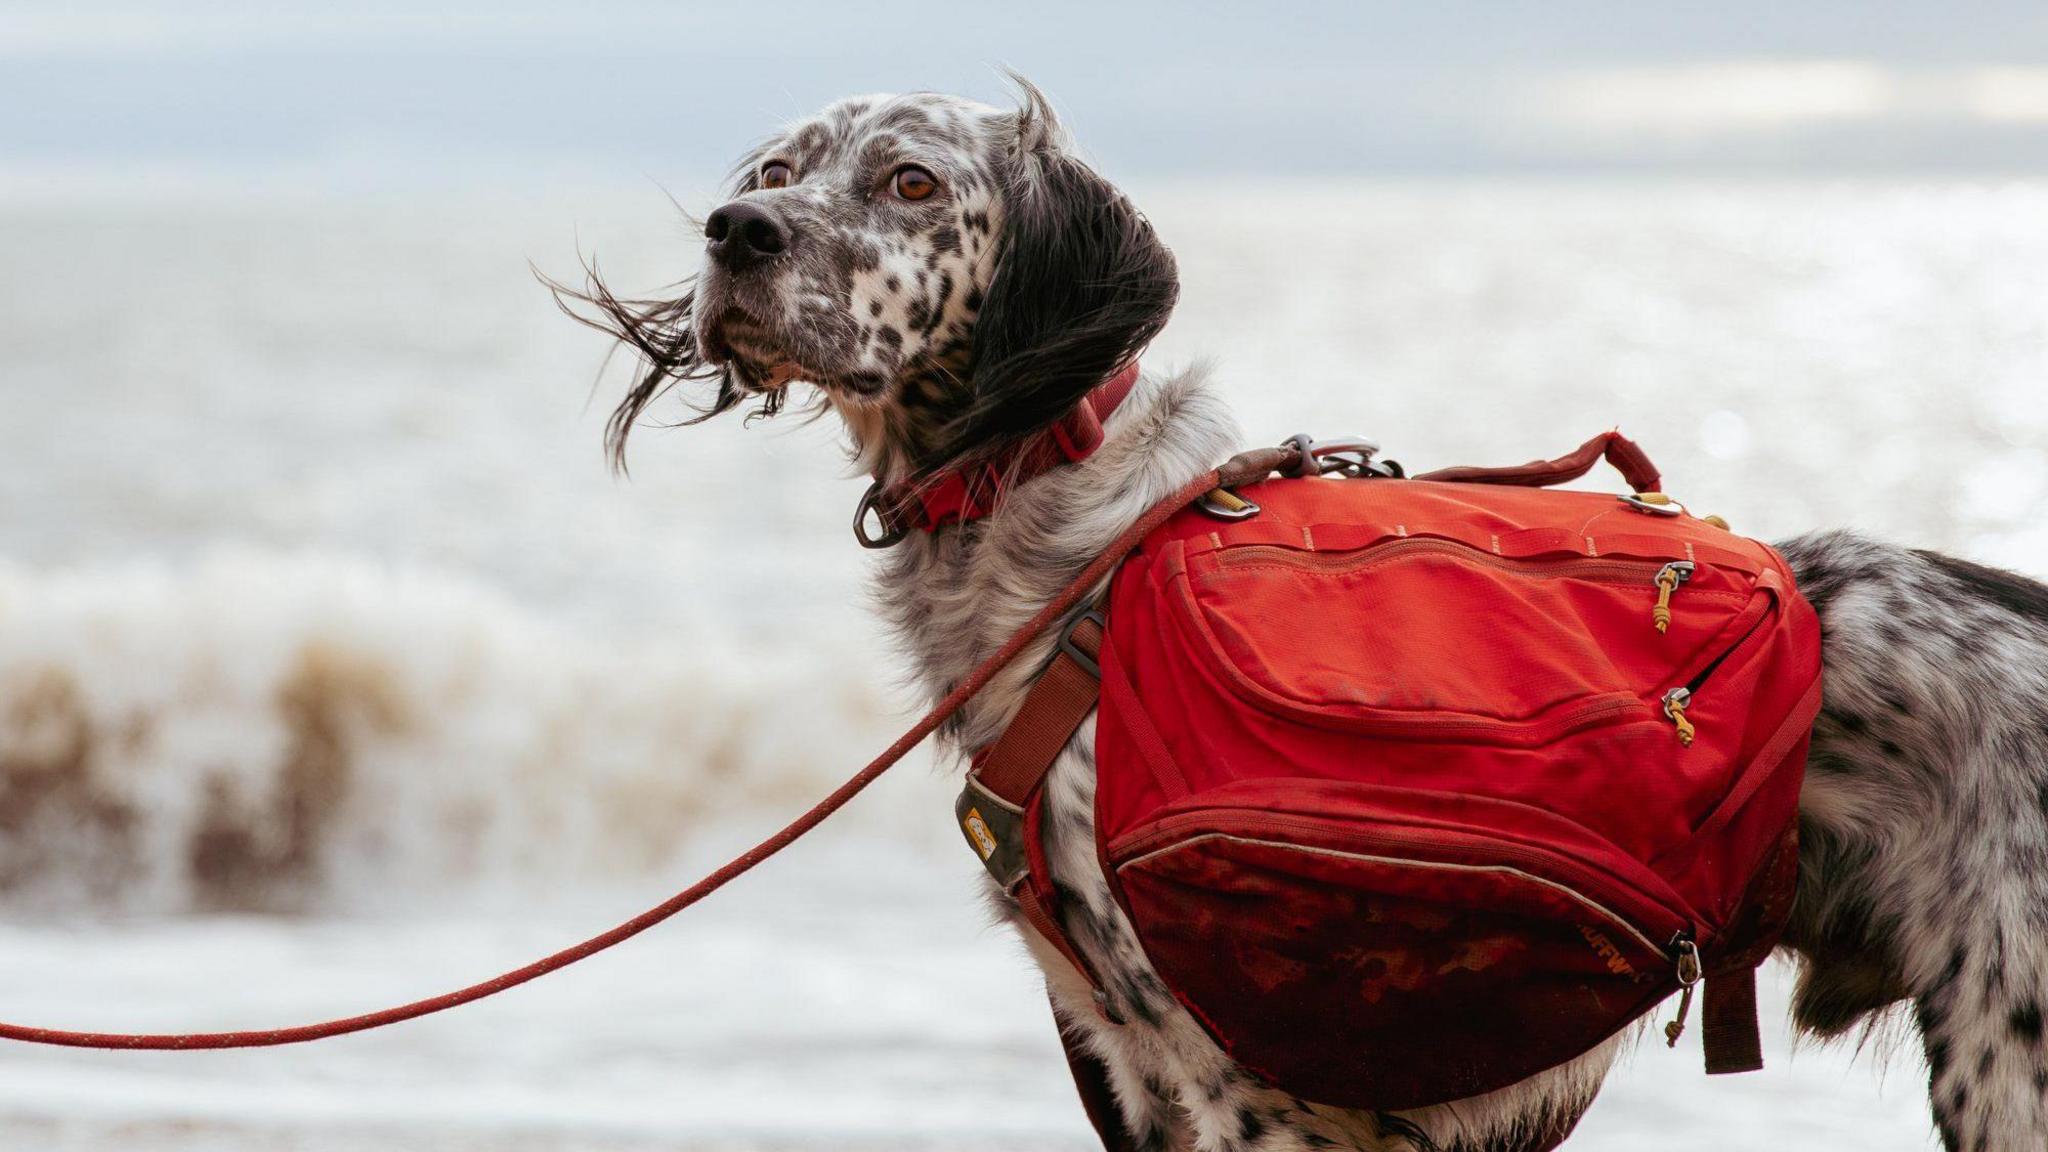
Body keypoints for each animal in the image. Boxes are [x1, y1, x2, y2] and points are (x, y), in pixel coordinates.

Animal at [557, 80, 2048, 1147]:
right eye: (777, 173)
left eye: (910, 182)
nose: (736, 235)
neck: (1069, 544)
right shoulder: (1130, 1064)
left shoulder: (1256, 1087)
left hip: (2007, 1060)